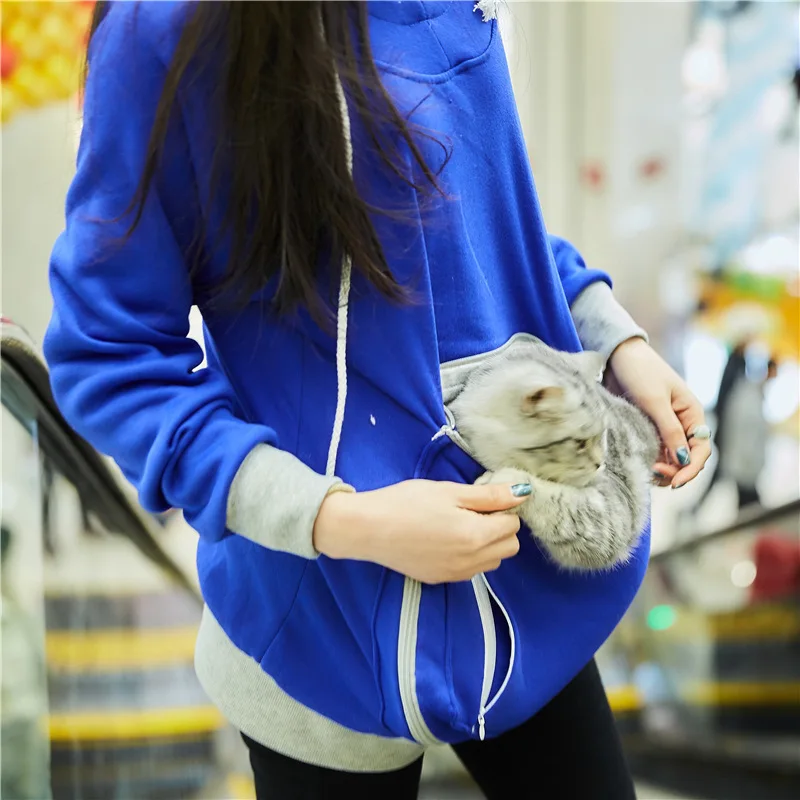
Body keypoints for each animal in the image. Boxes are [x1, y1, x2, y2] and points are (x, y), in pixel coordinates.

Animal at [446, 340, 660, 572]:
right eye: (580, 443)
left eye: (603, 433)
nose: (600, 463)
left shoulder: (610, 515)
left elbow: (554, 501)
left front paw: (499, 482)